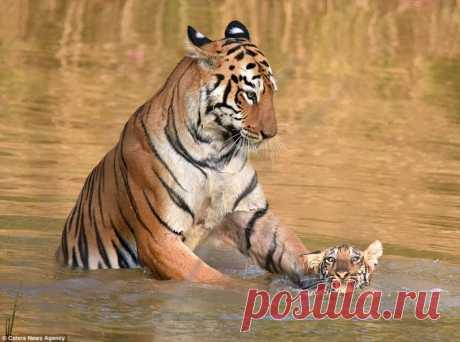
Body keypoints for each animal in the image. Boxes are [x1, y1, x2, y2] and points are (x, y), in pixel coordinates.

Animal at [56, 20, 312, 284]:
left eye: (272, 92)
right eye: (250, 94)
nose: (271, 133)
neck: (216, 152)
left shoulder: (250, 213)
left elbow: (290, 248)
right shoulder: (159, 238)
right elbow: (214, 279)